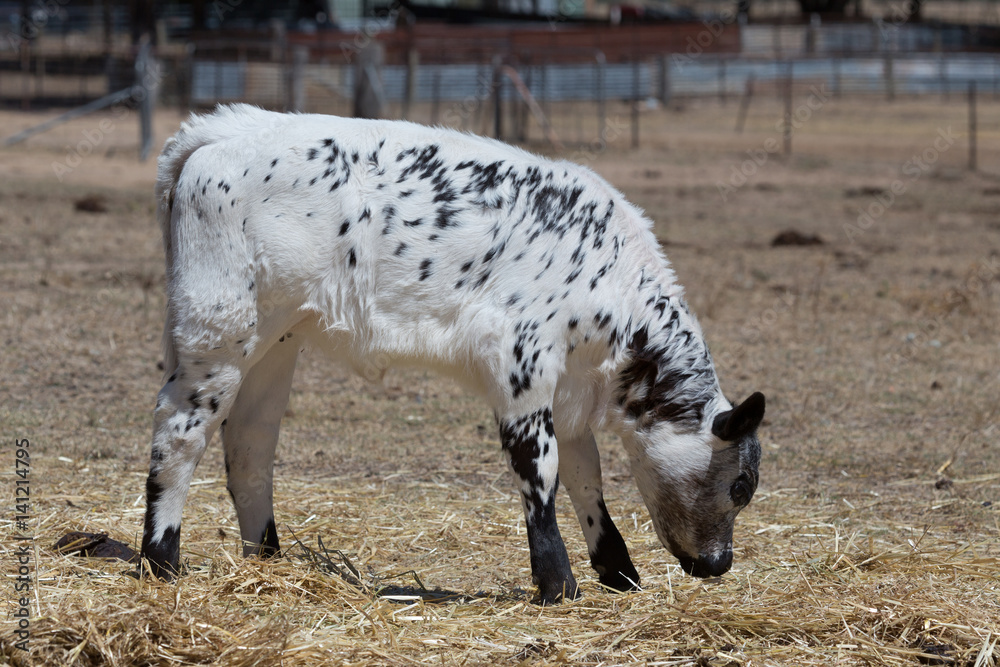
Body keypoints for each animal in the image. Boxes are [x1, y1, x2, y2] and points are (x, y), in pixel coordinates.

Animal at [139, 104, 765, 604]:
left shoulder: (566, 391)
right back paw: (161, 561)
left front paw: (619, 572)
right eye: (741, 485)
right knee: (180, 432)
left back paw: (269, 563)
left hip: (276, 341)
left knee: (249, 444)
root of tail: (224, 129)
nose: (719, 564)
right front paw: (557, 584)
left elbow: (586, 475)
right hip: (217, 332)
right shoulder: (520, 364)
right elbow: (540, 470)